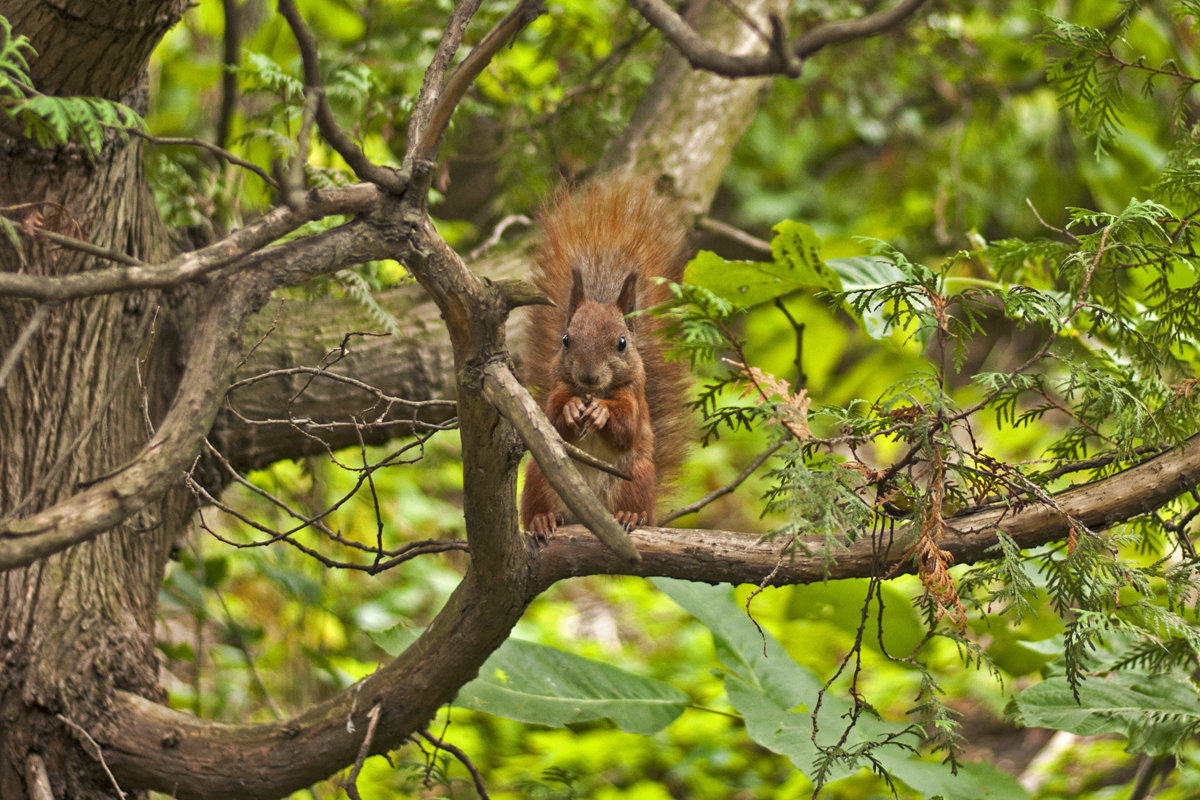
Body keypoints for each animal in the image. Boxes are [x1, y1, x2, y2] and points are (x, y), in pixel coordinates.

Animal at [520, 178, 691, 534]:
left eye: (622, 343)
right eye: (566, 340)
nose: (588, 376)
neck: (593, 392)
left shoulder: (635, 398)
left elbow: (627, 426)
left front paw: (600, 412)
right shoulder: (558, 389)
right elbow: (552, 419)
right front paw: (573, 408)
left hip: (635, 476)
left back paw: (630, 516)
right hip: (540, 477)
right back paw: (542, 520)